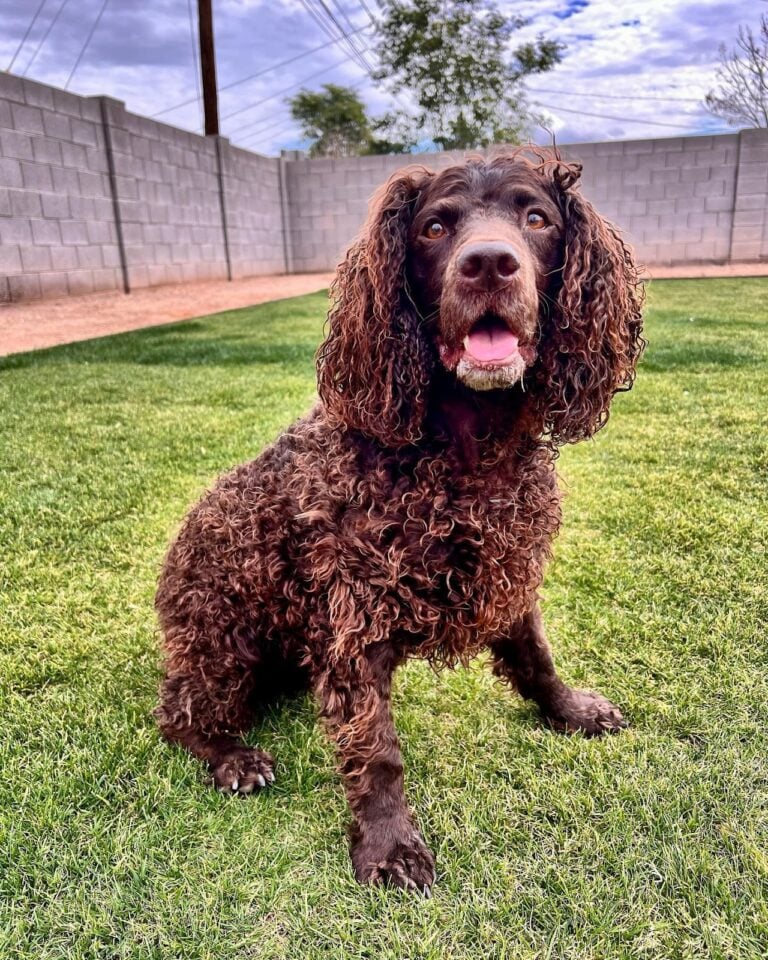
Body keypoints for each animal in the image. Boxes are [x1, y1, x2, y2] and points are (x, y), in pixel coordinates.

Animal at [154, 148, 640, 892]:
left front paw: (570, 710)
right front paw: (388, 845)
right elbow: (376, 750)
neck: (465, 449)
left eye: (536, 219)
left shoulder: (508, 569)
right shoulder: (354, 620)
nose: (489, 263)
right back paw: (233, 756)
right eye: (435, 228)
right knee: (177, 711)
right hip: (223, 638)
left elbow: (536, 656)